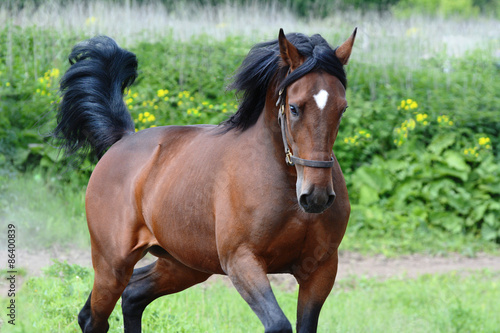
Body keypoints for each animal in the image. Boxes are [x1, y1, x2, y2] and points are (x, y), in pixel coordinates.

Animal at [54, 28, 356, 332]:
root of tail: (123, 140)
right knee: (93, 317)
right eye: (294, 108)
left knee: (133, 295)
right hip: (112, 264)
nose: (316, 196)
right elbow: (279, 324)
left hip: (183, 264)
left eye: (342, 108)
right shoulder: (241, 261)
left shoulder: (321, 269)